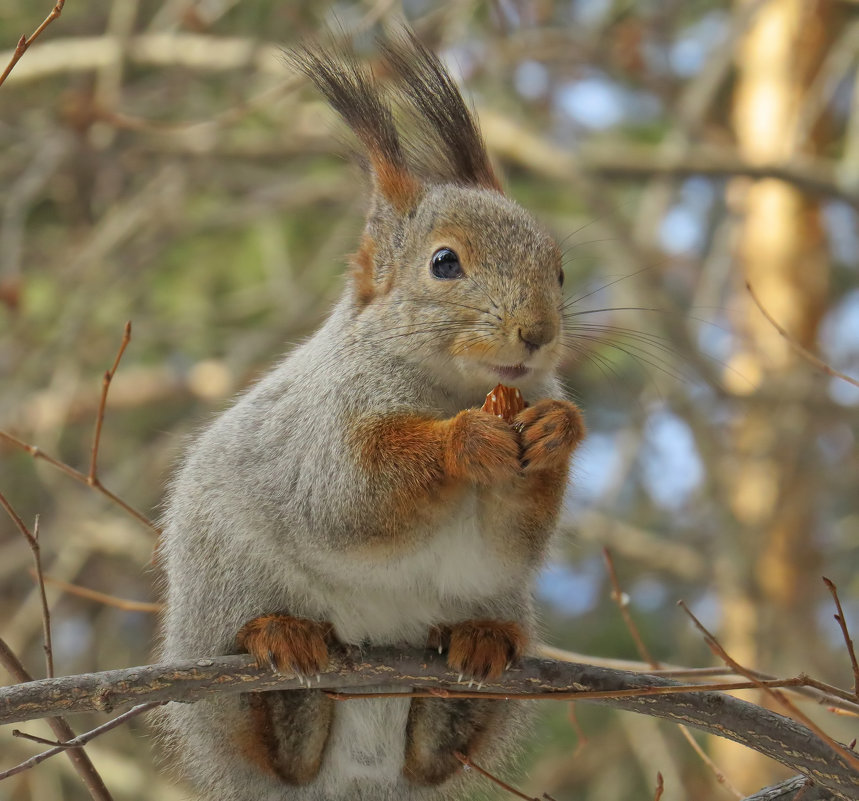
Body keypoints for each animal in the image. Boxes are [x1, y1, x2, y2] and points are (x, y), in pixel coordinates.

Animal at [158, 29, 588, 800]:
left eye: (560, 272)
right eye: (443, 262)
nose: (538, 333)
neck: (454, 389)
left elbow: (512, 537)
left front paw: (556, 431)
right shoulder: (327, 433)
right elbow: (354, 499)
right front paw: (464, 441)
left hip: (501, 607)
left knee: (435, 750)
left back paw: (473, 657)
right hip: (221, 591)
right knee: (267, 739)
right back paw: (282, 655)